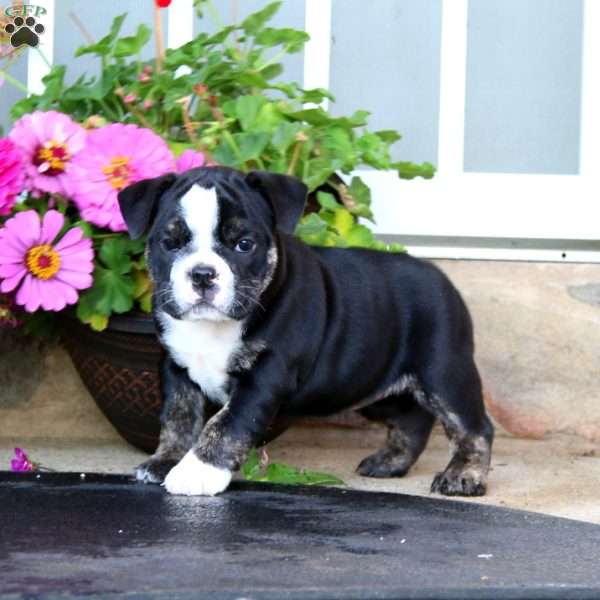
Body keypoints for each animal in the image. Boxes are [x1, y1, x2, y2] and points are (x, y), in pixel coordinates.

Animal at [117, 168, 492, 496]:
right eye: (169, 243)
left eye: (244, 244)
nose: (202, 273)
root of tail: (441, 277)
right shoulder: (176, 367)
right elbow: (178, 416)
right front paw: (166, 460)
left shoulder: (264, 376)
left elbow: (226, 424)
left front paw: (197, 472)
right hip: (374, 386)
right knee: (411, 418)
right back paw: (390, 461)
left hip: (443, 373)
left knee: (472, 425)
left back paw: (463, 475)